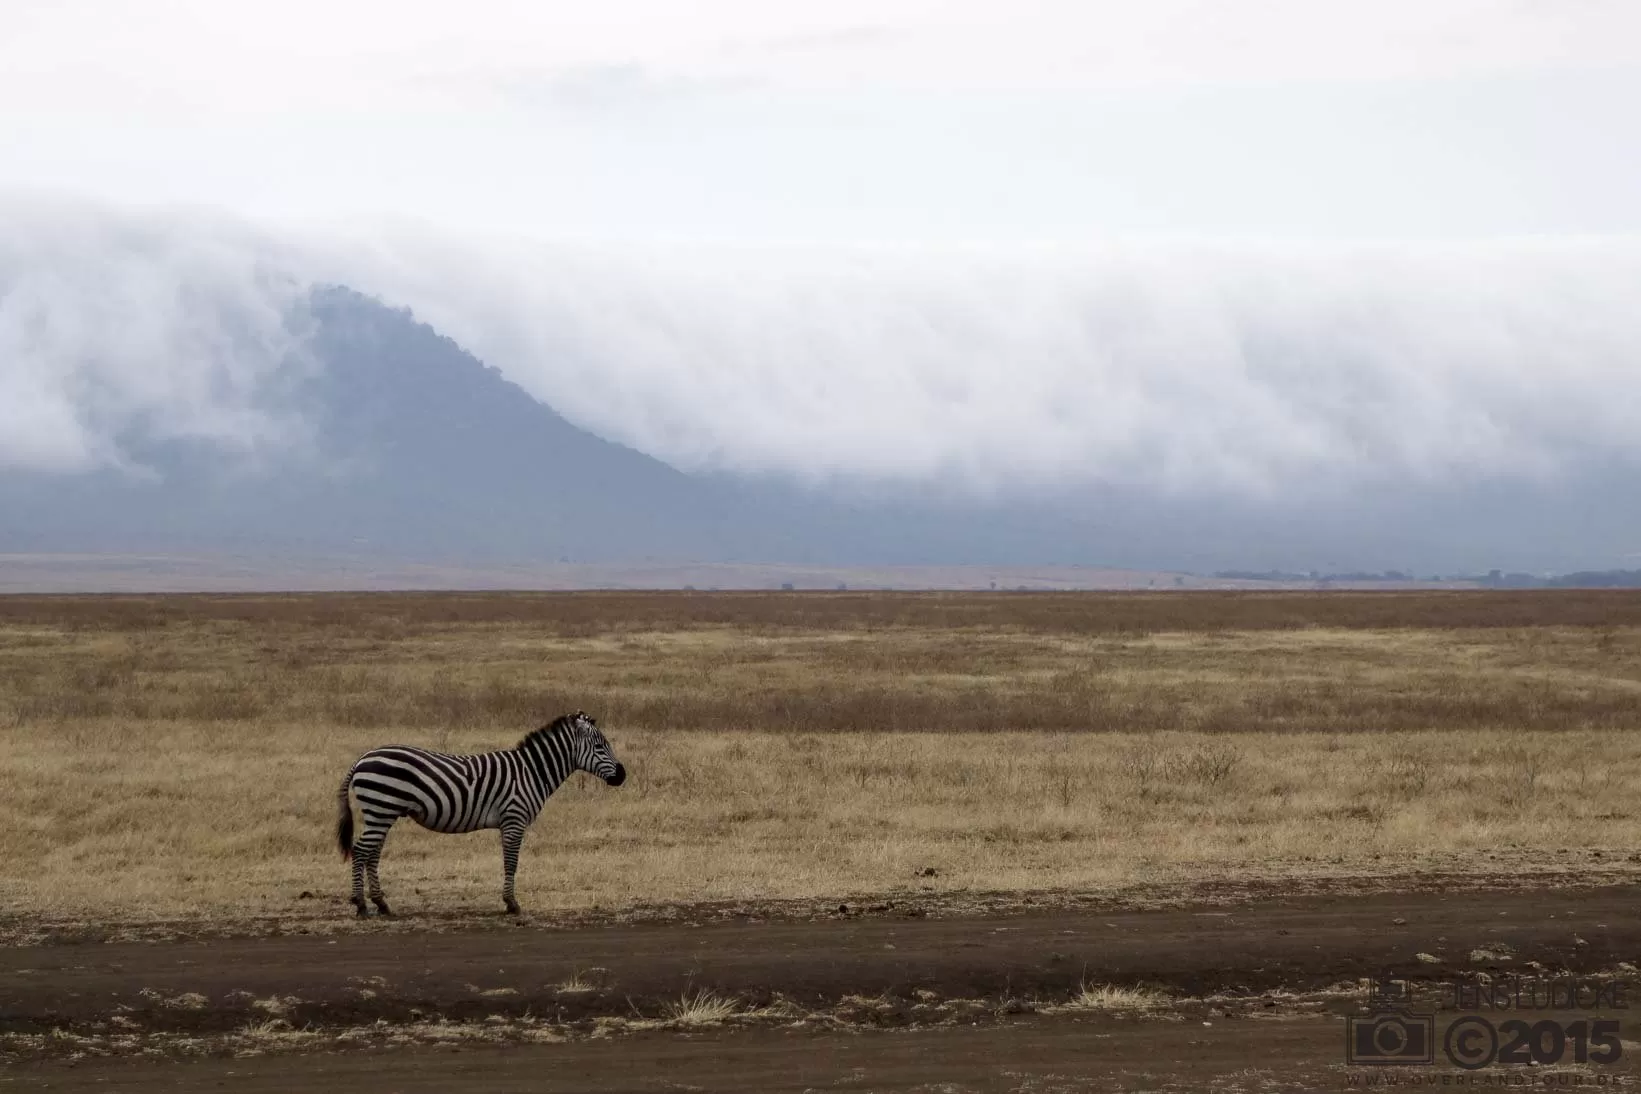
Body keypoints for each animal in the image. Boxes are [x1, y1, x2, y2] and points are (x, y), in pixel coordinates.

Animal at [335, 710, 627, 916]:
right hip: (380, 809)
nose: (623, 775)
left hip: (382, 813)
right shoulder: (514, 819)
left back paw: (381, 904)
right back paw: (361, 905)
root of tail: (361, 759)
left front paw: (509, 901)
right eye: (600, 746)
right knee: (360, 851)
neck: (532, 771)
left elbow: (508, 861)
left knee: (371, 854)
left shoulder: (509, 822)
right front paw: (512, 904)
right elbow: (511, 862)